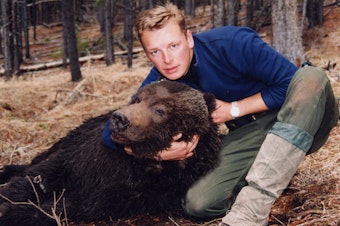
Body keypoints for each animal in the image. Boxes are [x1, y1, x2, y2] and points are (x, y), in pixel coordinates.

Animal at [0, 80, 220, 225]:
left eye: (160, 110)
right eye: (136, 98)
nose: (120, 118)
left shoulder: (147, 187)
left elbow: (82, 203)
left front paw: (15, 210)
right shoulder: (84, 156)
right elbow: (42, 175)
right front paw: (8, 197)